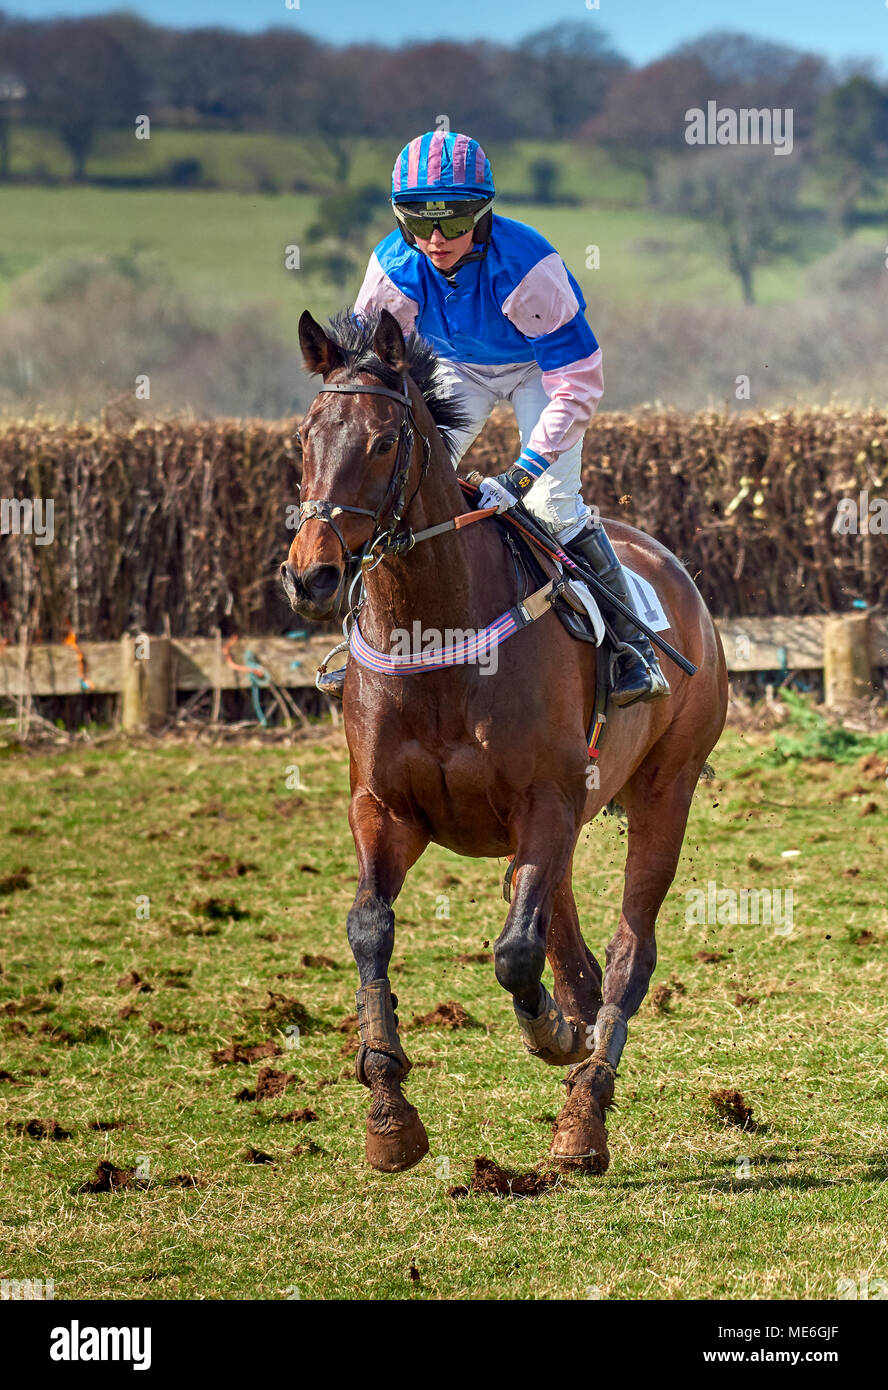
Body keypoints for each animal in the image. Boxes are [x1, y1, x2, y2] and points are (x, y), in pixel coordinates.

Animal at [280, 307, 728, 1173]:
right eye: (306, 437)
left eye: (383, 442)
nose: (311, 576)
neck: (436, 633)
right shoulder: (383, 807)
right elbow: (370, 928)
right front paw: (389, 1115)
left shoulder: (544, 800)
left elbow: (516, 951)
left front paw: (551, 1033)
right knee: (570, 935)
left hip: (666, 788)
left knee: (629, 952)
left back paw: (584, 1113)